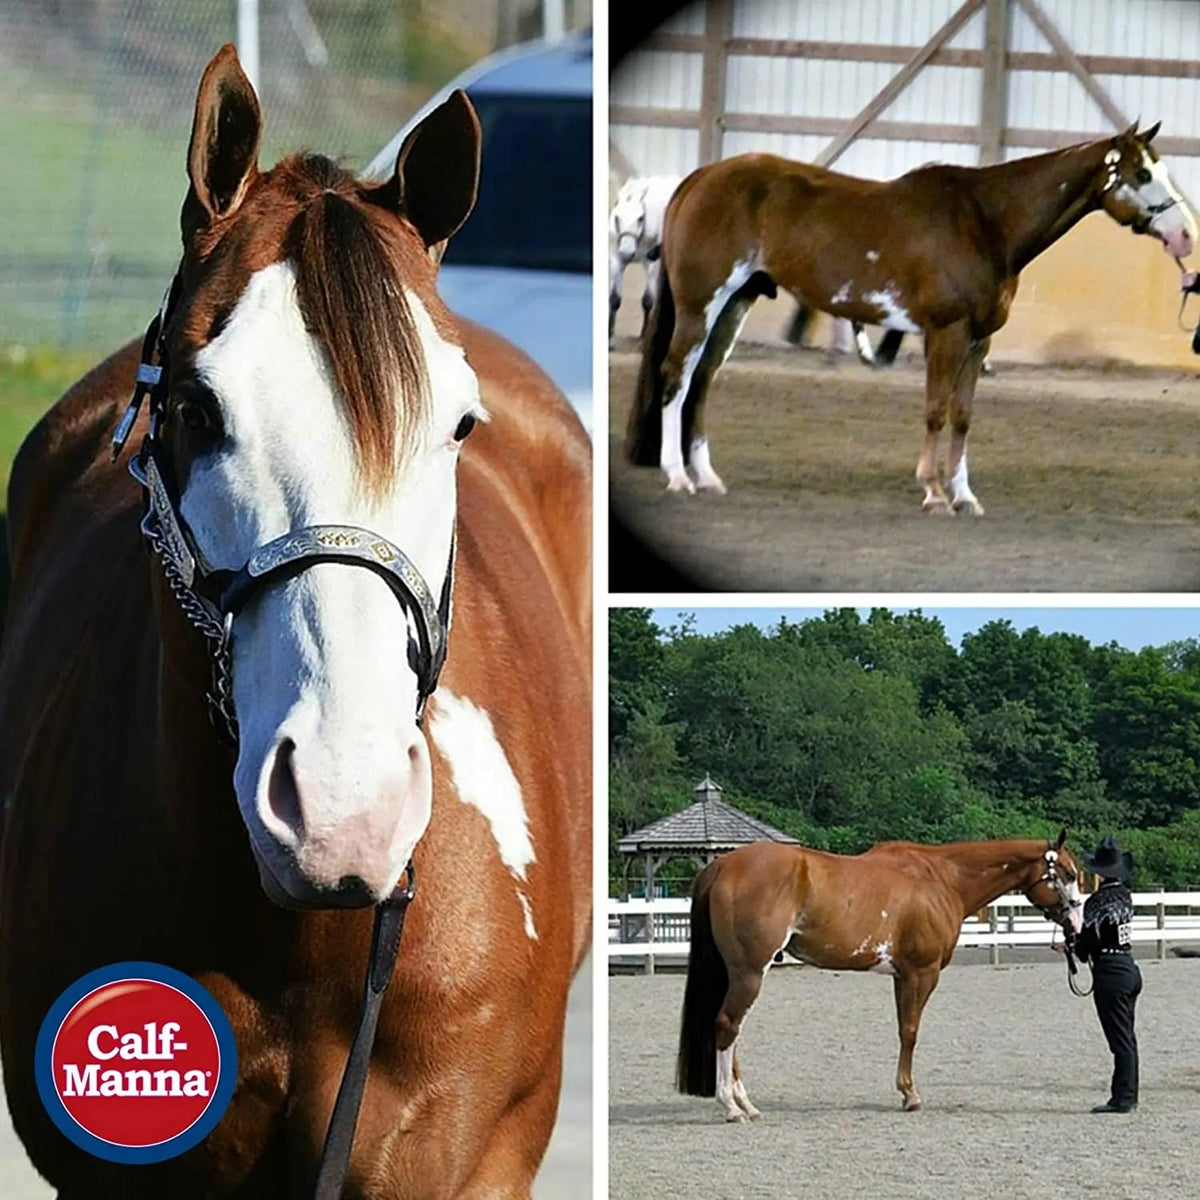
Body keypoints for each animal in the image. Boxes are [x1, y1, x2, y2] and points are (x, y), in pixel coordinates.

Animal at [609, 174, 680, 337]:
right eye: (617, 217)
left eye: (640, 218)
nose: (627, 252)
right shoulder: (616, 258)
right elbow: (614, 299)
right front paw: (610, 334)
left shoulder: (652, 261)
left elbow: (648, 300)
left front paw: (643, 334)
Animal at [627, 123, 1196, 504]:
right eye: (1142, 173)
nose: (1186, 235)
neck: (985, 222)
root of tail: (700, 178)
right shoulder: (946, 333)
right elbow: (936, 410)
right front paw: (933, 491)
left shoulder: (978, 340)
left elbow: (963, 415)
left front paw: (964, 496)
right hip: (702, 303)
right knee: (676, 376)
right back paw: (678, 477)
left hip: (735, 303)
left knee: (703, 379)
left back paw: (707, 476)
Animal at [677, 832, 1084, 1119]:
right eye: (1067, 874)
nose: (1078, 924)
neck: (943, 878)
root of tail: (722, 865)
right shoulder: (922, 973)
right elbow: (911, 1032)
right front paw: (911, 1095)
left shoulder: (901, 976)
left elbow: (902, 1029)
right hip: (749, 971)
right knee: (728, 1026)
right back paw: (732, 1107)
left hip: (736, 973)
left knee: (729, 1030)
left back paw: (746, 1103)